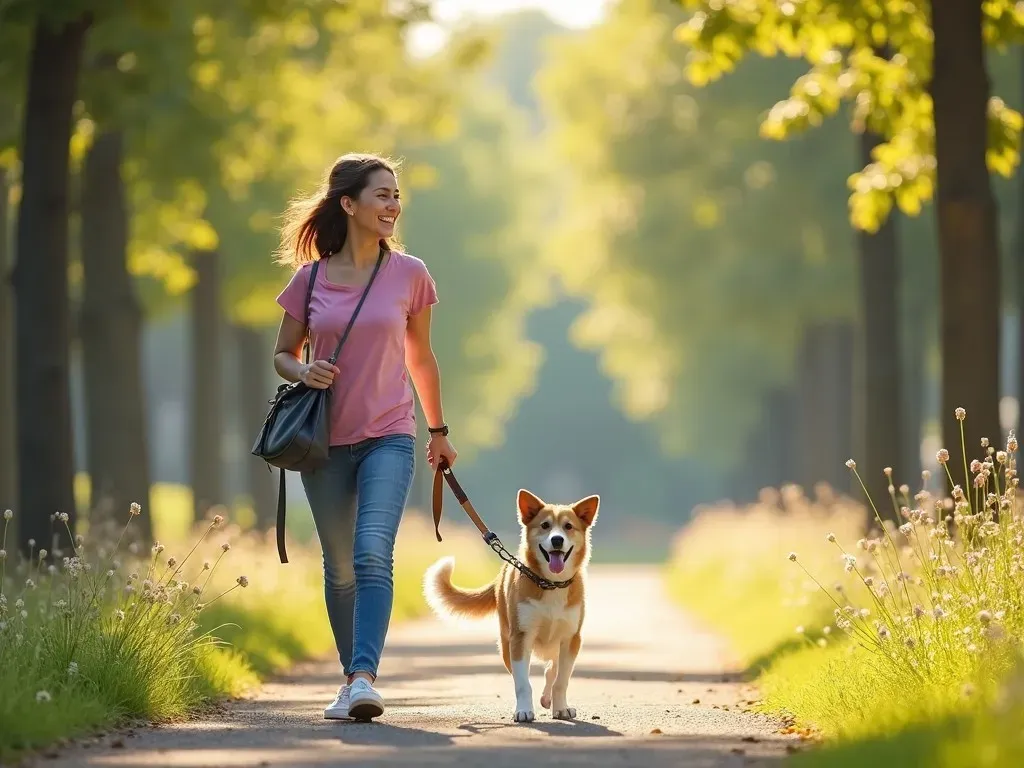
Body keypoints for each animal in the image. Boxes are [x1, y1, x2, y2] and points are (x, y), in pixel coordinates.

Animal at [423, 489, 598, 724]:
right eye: (545, 525)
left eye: (568, 526)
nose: (557, 539)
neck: (550, 584)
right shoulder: (520, 638)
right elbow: (523, 683)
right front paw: (524, 710)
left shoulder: (571, 639)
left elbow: (561, 680)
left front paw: (561, 708)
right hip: (506, 643)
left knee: (552, 670)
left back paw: (548, 697)